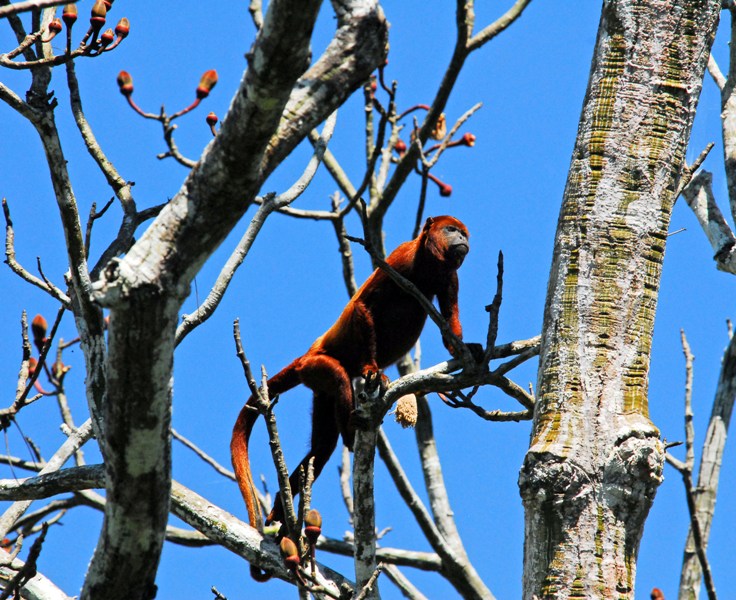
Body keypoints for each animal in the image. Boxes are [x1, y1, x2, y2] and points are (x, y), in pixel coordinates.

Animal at [231, 216, 480, 579]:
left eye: (463, 233)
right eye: (451, 230)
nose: (463, 239)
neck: (427, 264)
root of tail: (306, 355)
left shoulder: (451, 277)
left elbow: (450, 326)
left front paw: (469, 349)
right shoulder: (399, 260)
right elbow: (364, 304)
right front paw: (372, 368)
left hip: (318, 391)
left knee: (322, 448)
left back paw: (279, 508)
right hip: (315, 367)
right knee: (337, 379)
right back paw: (352, 427)